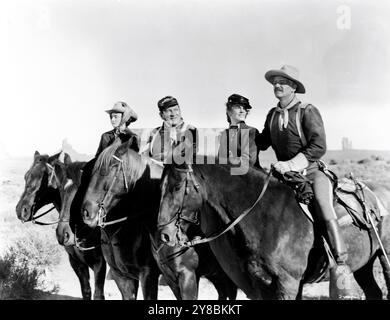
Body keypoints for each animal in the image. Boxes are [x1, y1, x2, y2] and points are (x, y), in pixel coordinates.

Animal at [15, 151, 106, 300]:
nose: (20, 210)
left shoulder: (99, 262)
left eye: (42, 179)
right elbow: (86, 291)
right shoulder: (76, 262)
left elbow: (99, 294)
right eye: (26, 176)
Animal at [157, 162, 390, 300]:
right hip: (363, 265)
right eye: (161, 186)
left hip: (384, 256)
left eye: (176, 187)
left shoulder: (288, 283)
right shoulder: (260, 285)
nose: (164, 233)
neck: (264, 215)